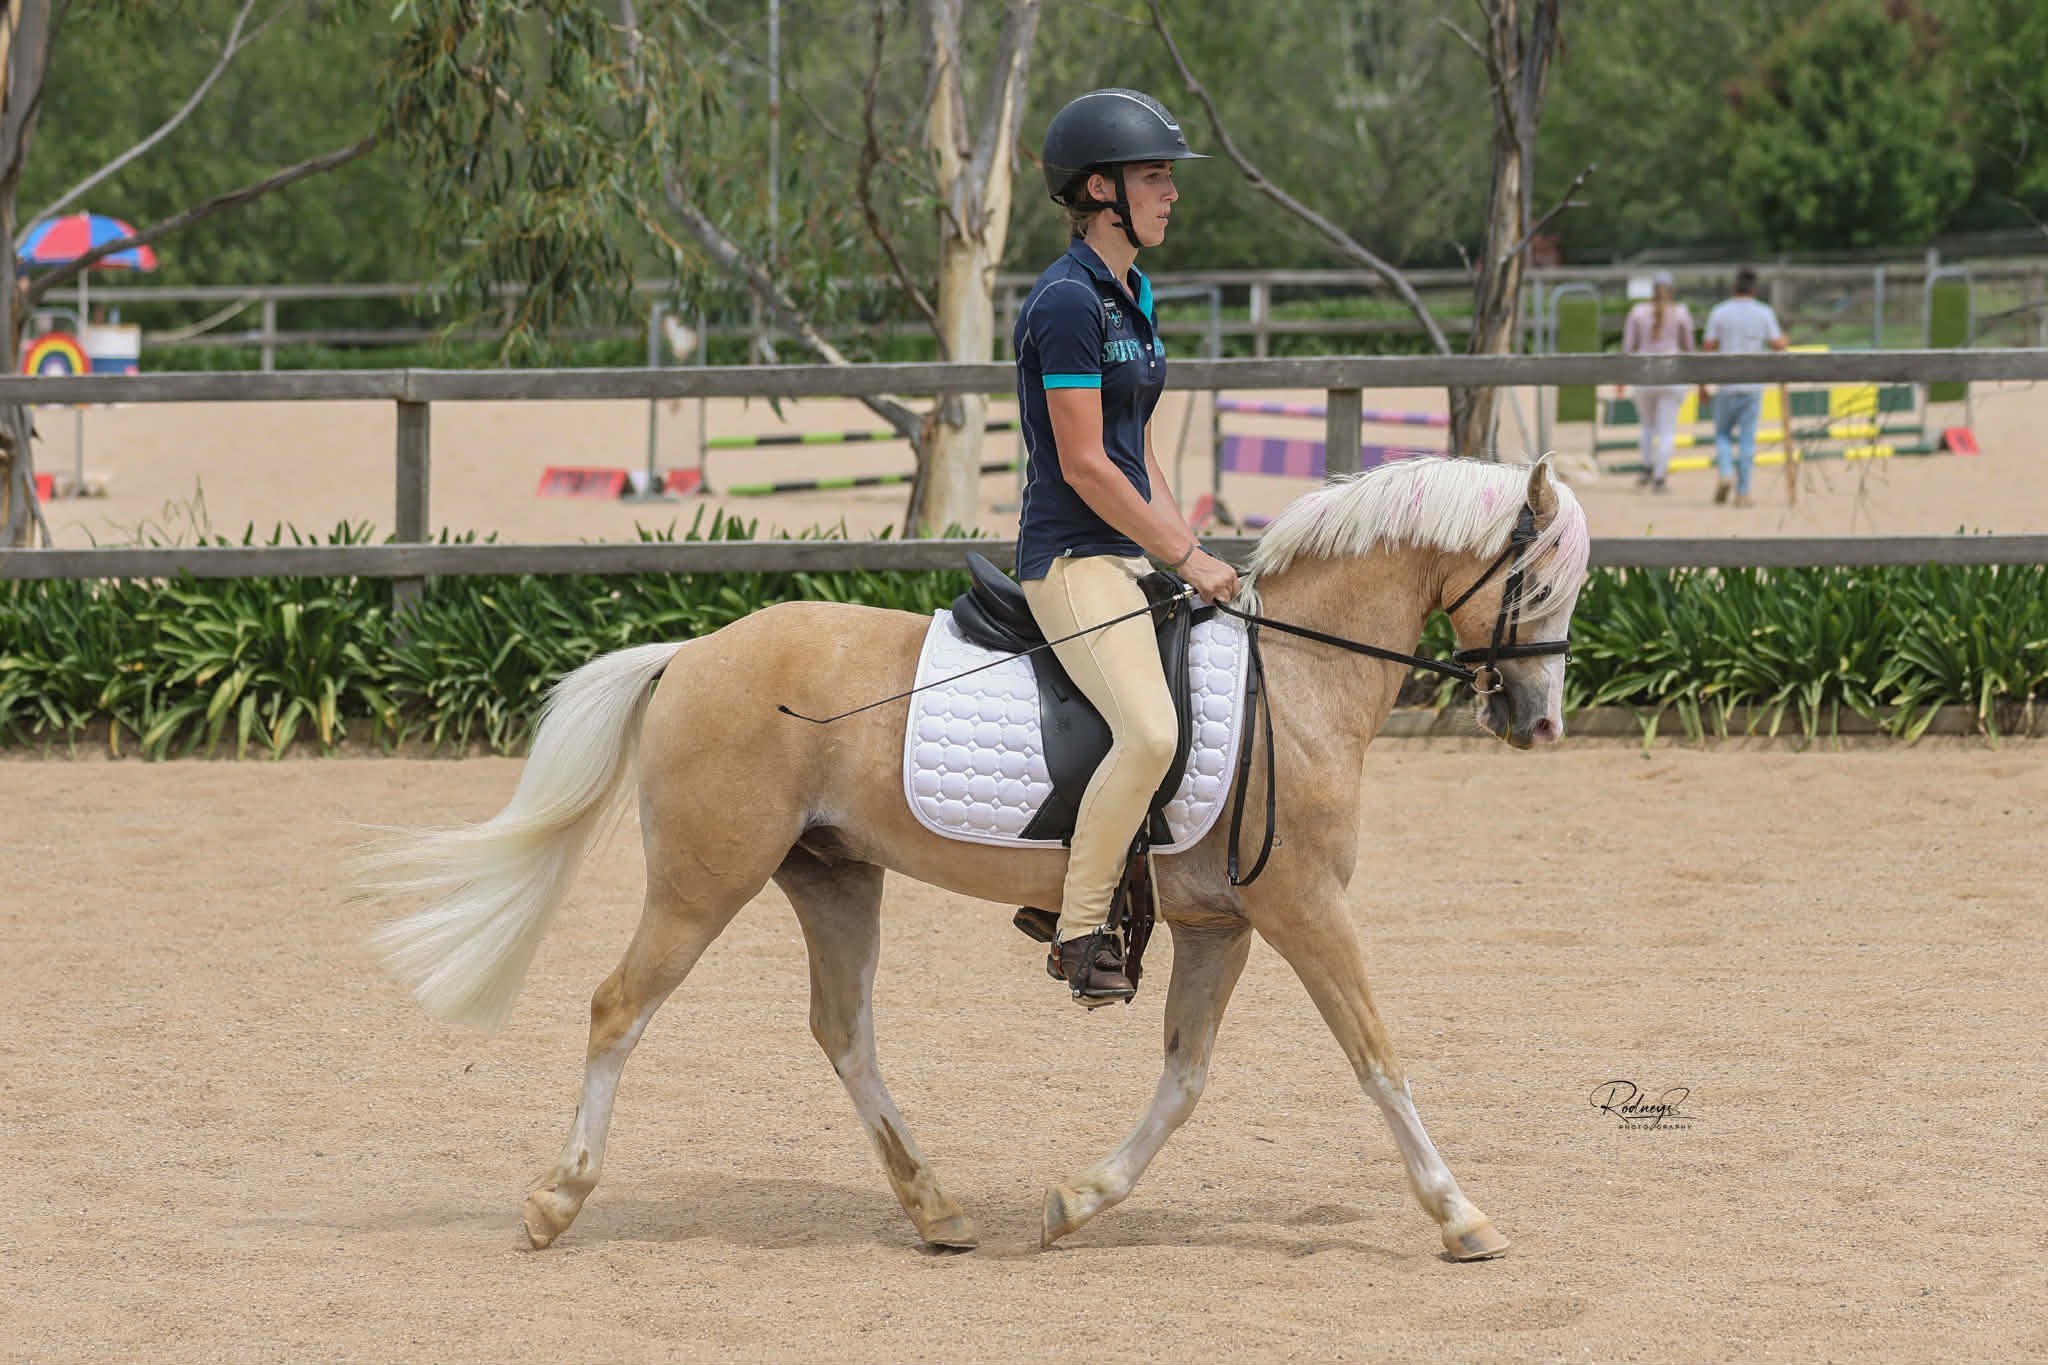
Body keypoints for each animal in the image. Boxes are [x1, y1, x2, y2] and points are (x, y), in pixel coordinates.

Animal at [362, 455, 1591, 1260]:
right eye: (1535, 583)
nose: (1539, 724)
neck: (1289, 682)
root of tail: (694, 651)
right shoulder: (1304, 910)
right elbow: (1377, 1057)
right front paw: (1460, 1216)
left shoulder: (1221, 927)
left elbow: (1185, 1079)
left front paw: (1079, 1200)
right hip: (703, 883)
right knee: (620, 1008)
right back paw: (556, 1203)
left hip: (832, 879)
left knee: (844, 1033)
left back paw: (935, 1209)